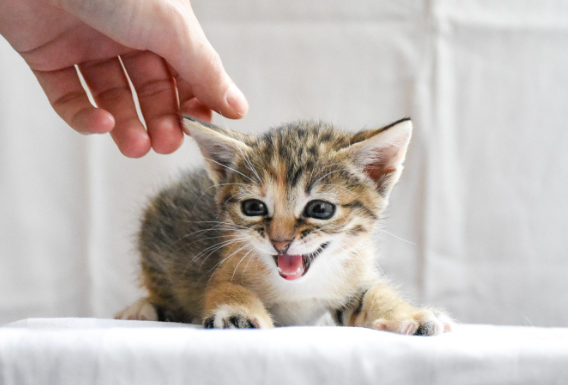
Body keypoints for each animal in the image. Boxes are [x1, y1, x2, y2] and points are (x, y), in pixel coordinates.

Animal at [115, 116, 452, 332]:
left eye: (320, 209)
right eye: (253, 207)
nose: (280, 241)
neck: (300, 287)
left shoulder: (354, 276)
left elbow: (374, 293)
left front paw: (410, 315)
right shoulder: (227, 264)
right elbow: (225, 286)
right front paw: (237, 312)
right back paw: (142, 309)